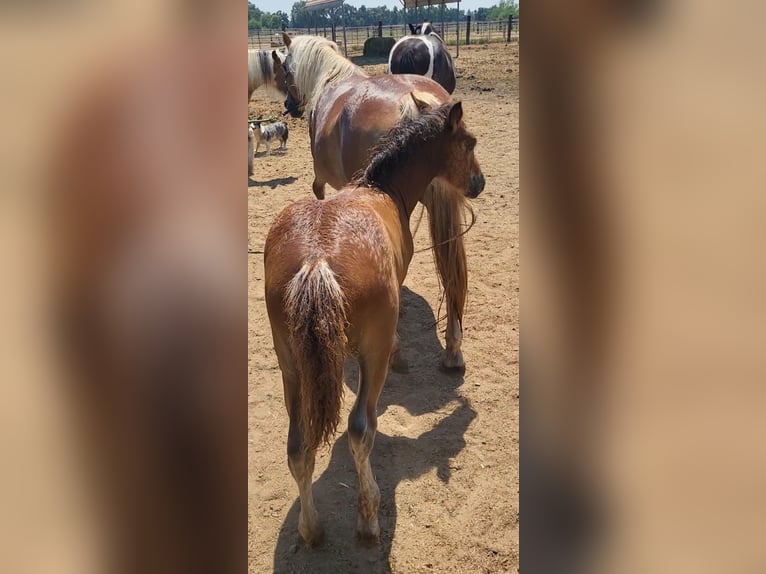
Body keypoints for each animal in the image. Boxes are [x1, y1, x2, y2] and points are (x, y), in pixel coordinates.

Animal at [264, 103, 486, 548]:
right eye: (468, 143)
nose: (479, 183)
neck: (382, 190)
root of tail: (315, 263)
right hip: (371, 357)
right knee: (360, 429)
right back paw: (368, 520)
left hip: (290, 365)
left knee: (297, 447)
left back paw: (311, 529)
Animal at [282, 33, 486, 372]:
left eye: (285, 69)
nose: (289, 105)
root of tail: (414, 99)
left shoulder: (324, 182)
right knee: (452, 272)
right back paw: (453, 348)